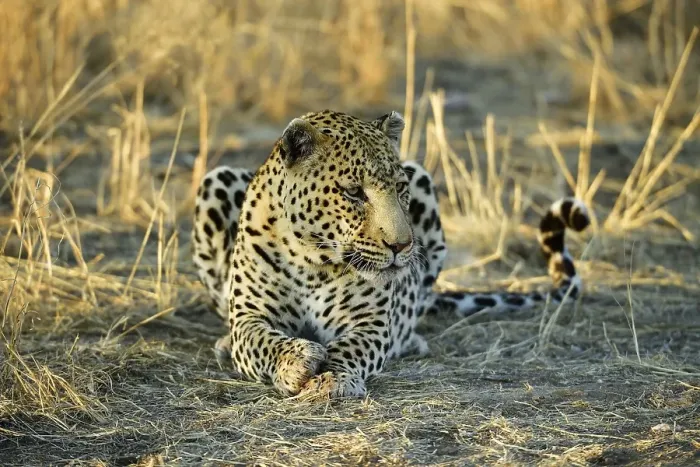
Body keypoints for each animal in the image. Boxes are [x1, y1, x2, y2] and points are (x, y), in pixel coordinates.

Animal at [192, 109, 590, 399]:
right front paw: (296, 360)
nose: (402, 246)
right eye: (353, 192)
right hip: (217, 179)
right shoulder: (250, 317)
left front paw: (332, 378)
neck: (312, 260)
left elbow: (349, 348)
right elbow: (263, 341)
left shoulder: (368, 322)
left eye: (399, 188)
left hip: (425, 182)